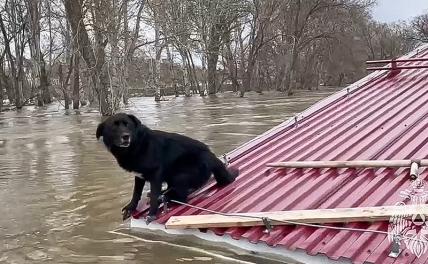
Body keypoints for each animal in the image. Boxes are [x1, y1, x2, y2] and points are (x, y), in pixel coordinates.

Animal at [95, 113, 239, 223]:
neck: (136, 145)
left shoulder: (156, 173)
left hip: (179, 174)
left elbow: (153, 195)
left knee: (182, 196)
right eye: (114, 127)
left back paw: (167, 197)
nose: (126, 136)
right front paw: (131, 208)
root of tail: (211, 155)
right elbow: (136, 193)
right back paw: (165, 193)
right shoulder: (139, 175)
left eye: (128, 125)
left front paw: (152, 214)